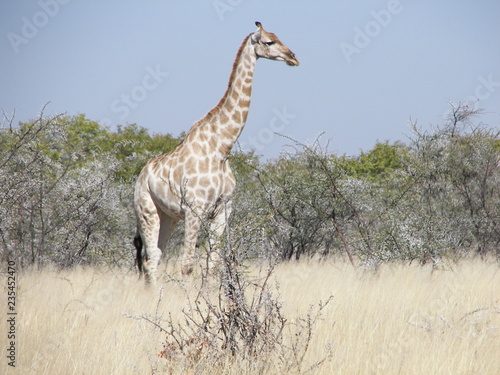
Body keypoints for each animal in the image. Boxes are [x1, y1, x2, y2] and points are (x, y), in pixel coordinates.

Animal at [133, 21, 298, 284]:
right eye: (269, 41)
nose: (293, 57)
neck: (221, 148)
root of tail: (141, 176)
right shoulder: (194, 208)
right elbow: (187, 266)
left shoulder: (222, 210)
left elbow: (214, 264)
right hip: (147, 210)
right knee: (149, 259)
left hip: (168, 216)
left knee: (154, 257)